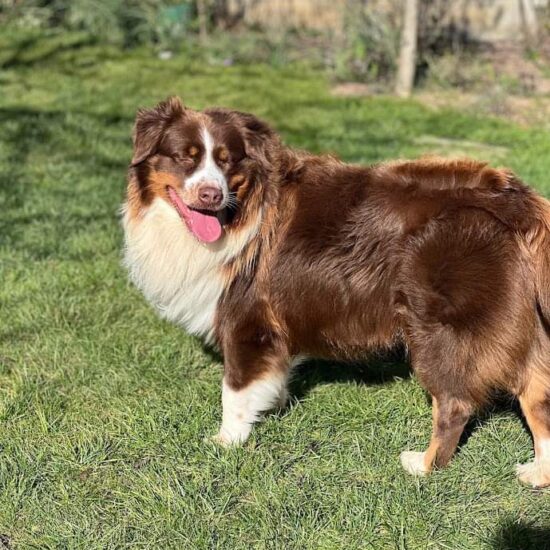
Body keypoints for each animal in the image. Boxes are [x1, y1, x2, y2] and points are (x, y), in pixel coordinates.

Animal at [123, 97, 550, 490]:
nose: (211, 194)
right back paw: (538, 473)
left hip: (441, 327)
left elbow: (234, 389)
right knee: (537, 390)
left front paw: (227, 441)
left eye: (227, 162)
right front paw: (273, 406)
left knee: (456, 402)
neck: (243, 211)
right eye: (185, 157)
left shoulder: (247, 317)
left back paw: (424, 465)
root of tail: (516, 197)